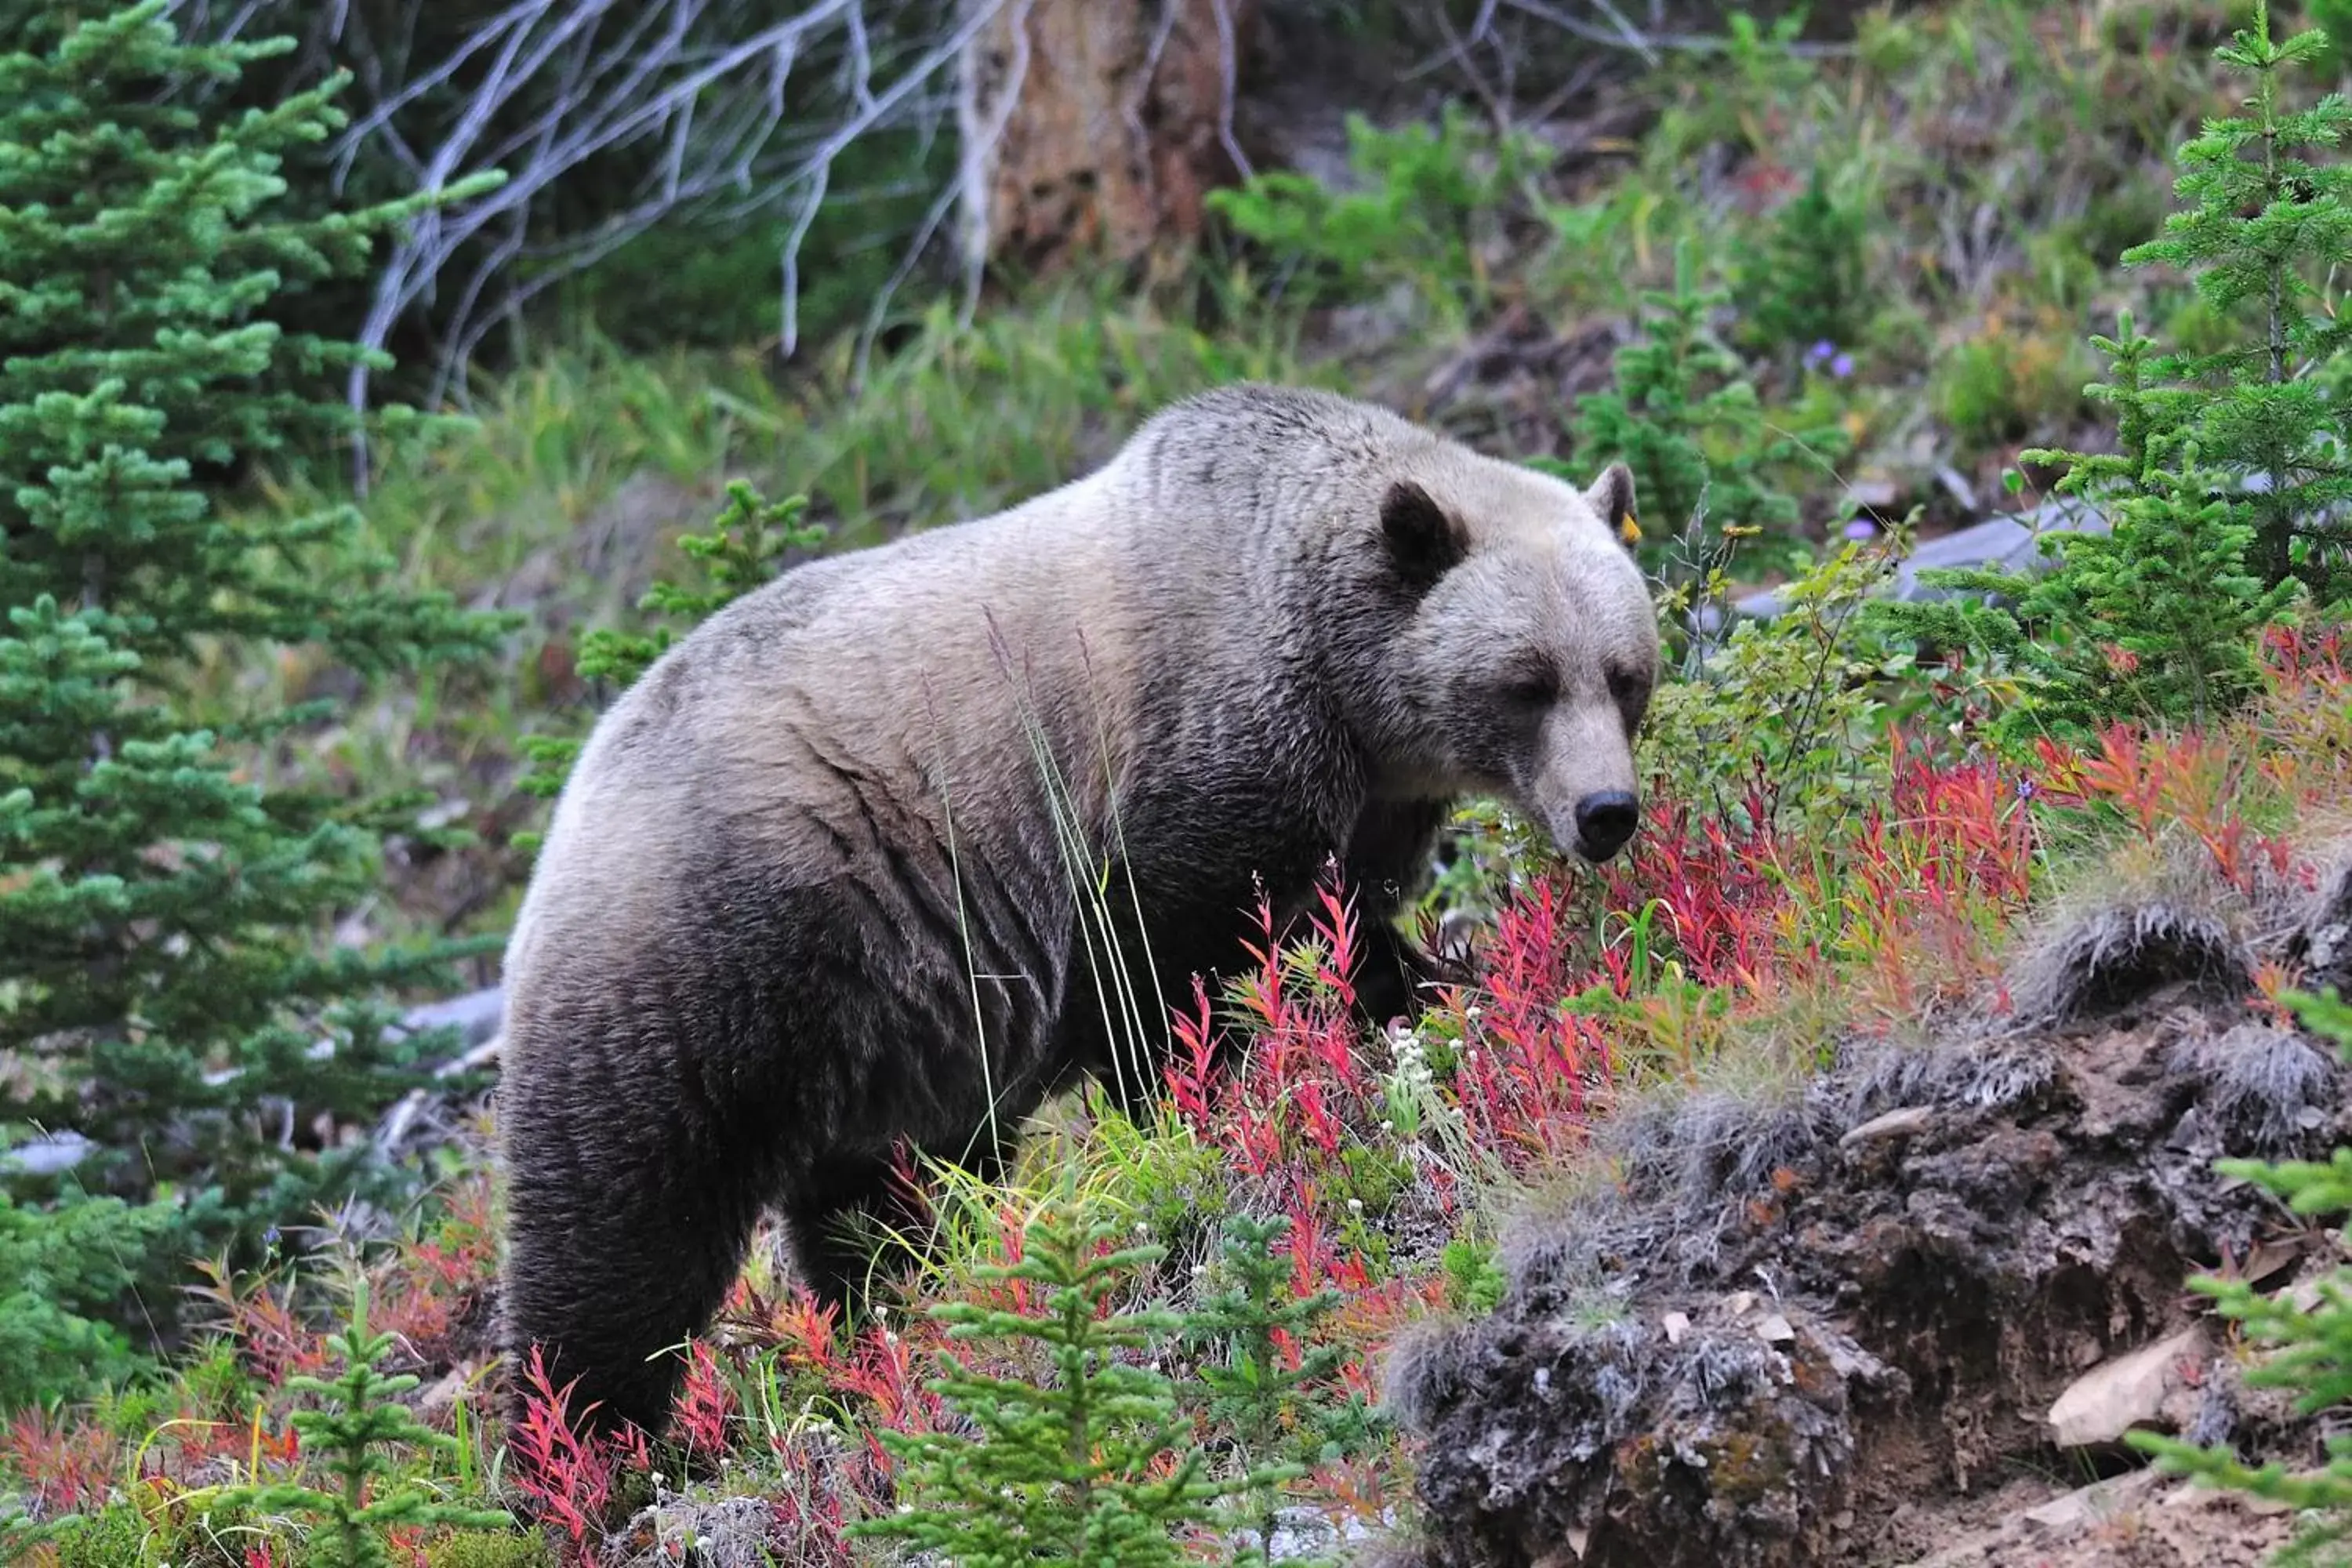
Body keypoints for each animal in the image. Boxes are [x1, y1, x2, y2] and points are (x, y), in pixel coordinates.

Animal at [496, 383, 1665, 1439]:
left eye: (1623, 673)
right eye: (1526, 680)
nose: (1605, 811)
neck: (1343, 687)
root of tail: (576, 789)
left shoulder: (1353, 808)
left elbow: (1349, 943)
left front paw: (1440, 989)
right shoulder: (1174, 773)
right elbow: (1159, 983)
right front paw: (1202, 1110)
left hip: (889, 1029)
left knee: (880, 1200)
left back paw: (898, 1314)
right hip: (721, 957)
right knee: (624, 1229)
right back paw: (586, 1446)